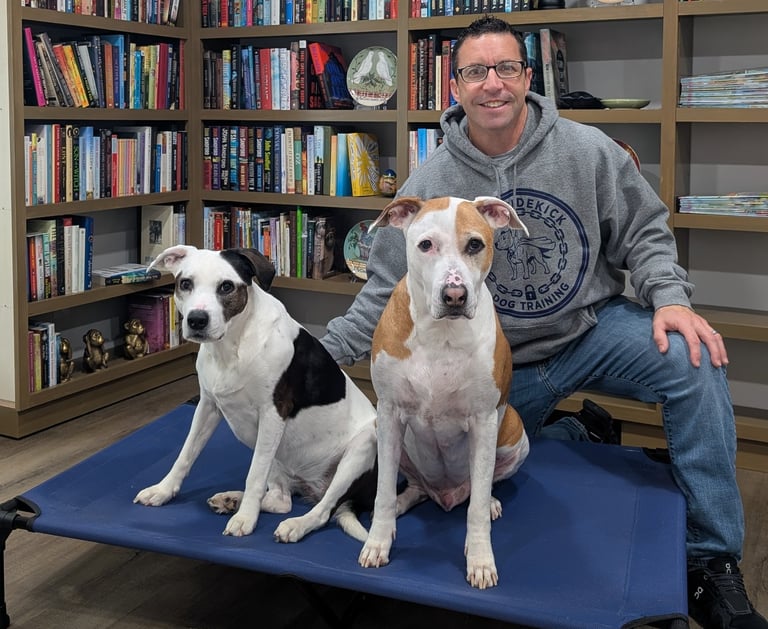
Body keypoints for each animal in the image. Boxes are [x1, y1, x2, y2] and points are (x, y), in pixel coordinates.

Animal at [134, 245, 378, 543]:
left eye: (226, 286)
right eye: (185, 284)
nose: (197, 320)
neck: (232, 345)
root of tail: (313, 487)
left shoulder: (273, 414)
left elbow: (254, 475)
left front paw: (246, 519)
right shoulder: (207, 407)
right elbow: (185, 454)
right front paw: (163, 490)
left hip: (362, 447)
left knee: (322, 510)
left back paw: (295, 524)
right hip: (275, 454)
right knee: (280, 499)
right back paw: (232, 500)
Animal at [358, 196, 531, 589]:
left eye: (475, 245)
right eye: (425, 245)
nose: (455, 295)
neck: (441, 333)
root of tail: (446, 495)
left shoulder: (483, 421)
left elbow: (477, 508)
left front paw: (480, 559)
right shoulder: (388, 414)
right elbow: (383, 491)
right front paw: (378, 541)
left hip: (514, 435)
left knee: (482, 487)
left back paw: (491, 501)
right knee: (411, 488)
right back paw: (402, 505)